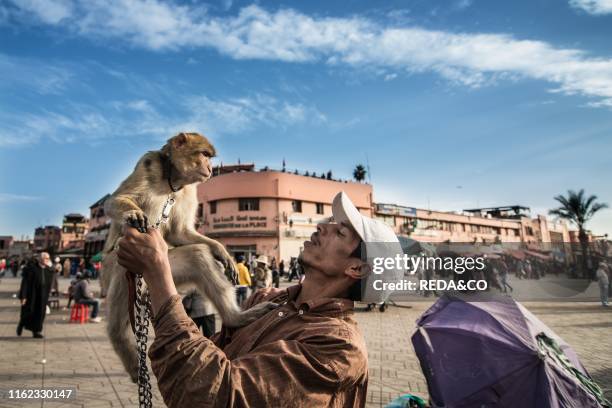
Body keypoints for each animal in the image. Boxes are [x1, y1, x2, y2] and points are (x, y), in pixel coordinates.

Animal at [103, 131, 278, 382]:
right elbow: (114, 201)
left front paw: (219, 249)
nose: (210, 167)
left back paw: (235, 318)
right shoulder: (148, 164)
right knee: (117, 327)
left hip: (162, 271)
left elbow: (180, 233)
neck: (171, 181)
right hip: (121, 274)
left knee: (197, 256)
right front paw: (132, 212)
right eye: (204, 154)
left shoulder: (187, 190)